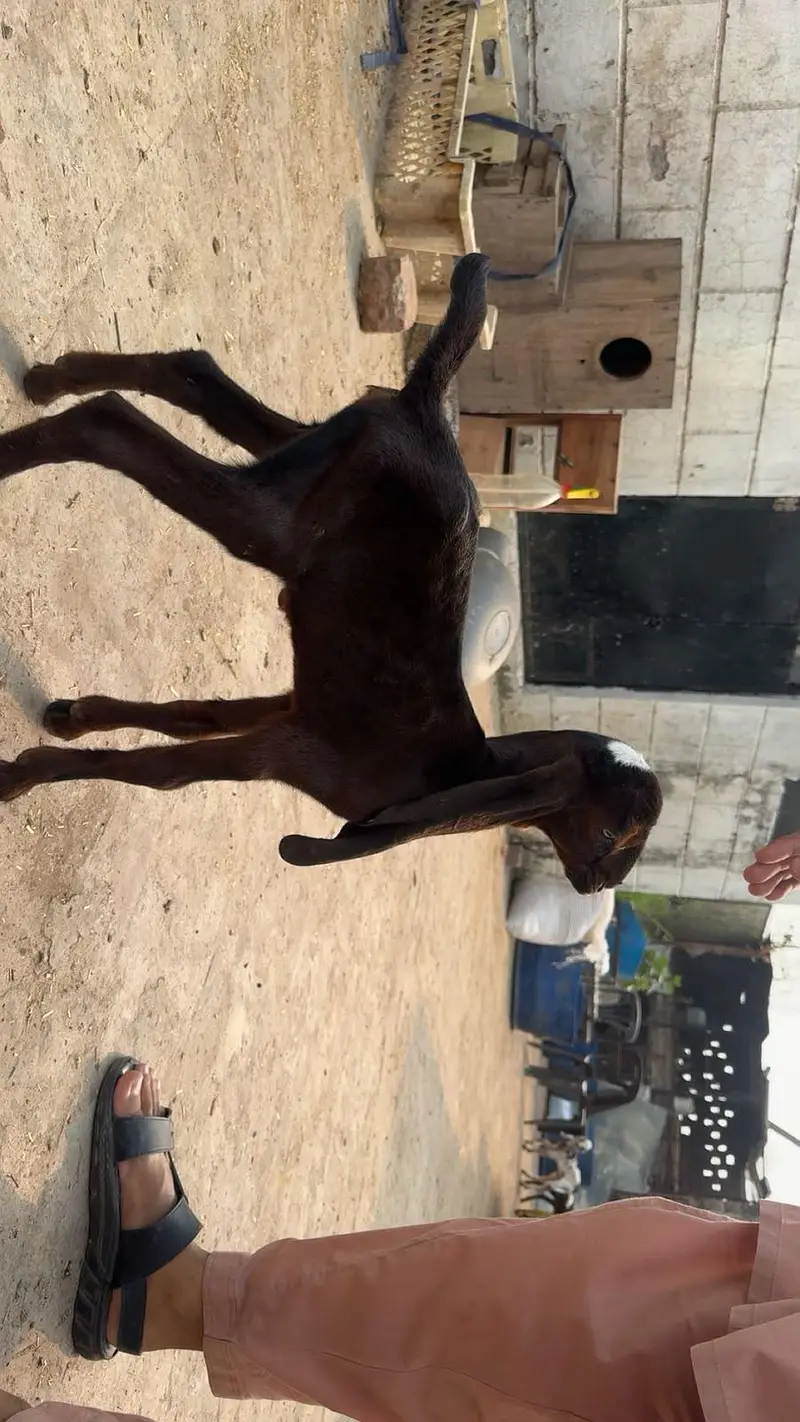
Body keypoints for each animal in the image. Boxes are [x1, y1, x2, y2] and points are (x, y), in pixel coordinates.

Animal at [0, 255, 662, 886]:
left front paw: (74, 717)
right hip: (275, 523)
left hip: (313, 450)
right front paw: (23, 774)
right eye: (612, 836)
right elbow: (160, 772)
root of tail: (427, 410)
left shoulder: (286, 709)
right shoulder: (287, 750)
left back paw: (50, 380)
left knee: (192, 372)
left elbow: (194, 718)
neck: (455, 772)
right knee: (109, 424)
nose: (595, 887)